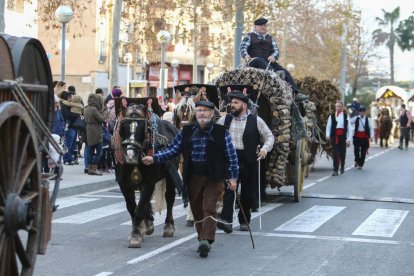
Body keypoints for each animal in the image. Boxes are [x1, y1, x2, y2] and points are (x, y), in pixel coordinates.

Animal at [114, 103, 184, 248]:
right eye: (123, 125)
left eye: (143, 127)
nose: (130, 156)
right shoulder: (124, 184)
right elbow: (132, 207)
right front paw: (139, 230)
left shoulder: (149, 183)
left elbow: (139, 208)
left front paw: (135, 235)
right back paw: (148, 223)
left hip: (171, 174)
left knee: (169, 198)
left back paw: (168, 226)